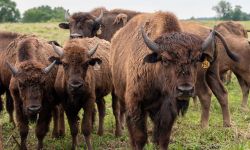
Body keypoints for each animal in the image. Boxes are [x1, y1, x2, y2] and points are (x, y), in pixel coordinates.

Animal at [110, 12, 237, 150]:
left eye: (196, 59)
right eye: (165, 60)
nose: (185, 90)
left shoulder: (168, 109)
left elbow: (163, 137)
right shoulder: (135, 104)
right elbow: (139, 137)